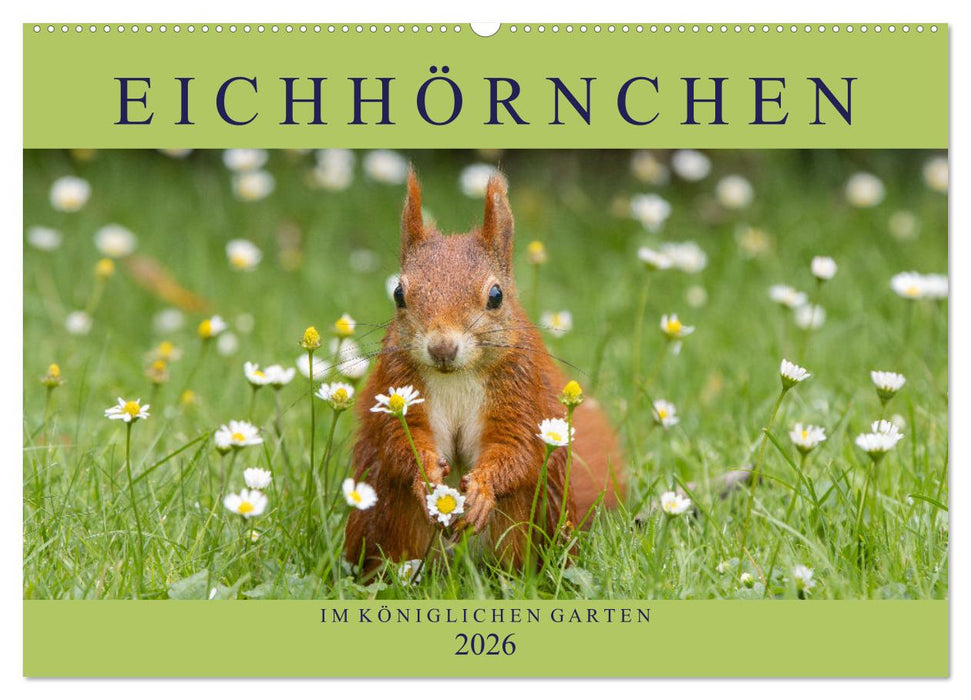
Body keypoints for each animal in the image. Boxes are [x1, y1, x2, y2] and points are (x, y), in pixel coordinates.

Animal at [345, 169, 625, 572]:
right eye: (398, 294)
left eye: (496, 296)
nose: (442, 348)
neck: (456, 377)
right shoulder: (398, 387)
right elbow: (400, 441)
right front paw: (426, 476)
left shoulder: (520, 393)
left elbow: (516, 449)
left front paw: (481, 490)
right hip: (389, 517)